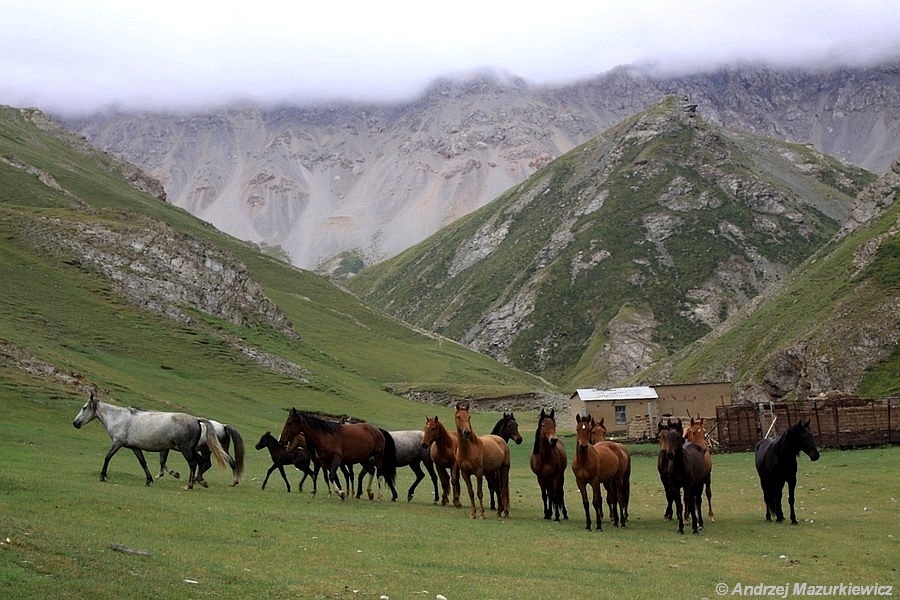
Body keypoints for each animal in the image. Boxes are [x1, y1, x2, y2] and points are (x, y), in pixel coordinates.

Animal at [73, 392, 229, 490]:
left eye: (84, 408)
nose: (75, 423)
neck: (118, 418)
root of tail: (196, 420)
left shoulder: (117, 443)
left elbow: (107, 457)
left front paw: (102, 476)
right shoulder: (135, 447)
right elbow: (143, 463)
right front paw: (148, 480)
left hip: (186, 449)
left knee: (193, 463)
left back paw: (189, 485)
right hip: (190, 449)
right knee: (202, 463)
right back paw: (200, 481)